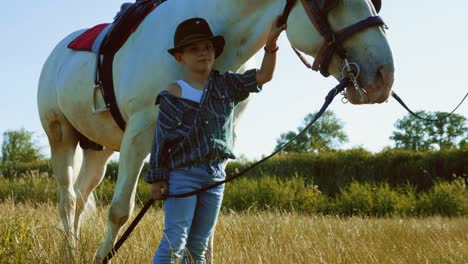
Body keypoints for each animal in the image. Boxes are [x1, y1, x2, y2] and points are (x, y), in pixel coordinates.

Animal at [37, 0, 394, 260]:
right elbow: (119, 211)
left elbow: (206, 220)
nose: (383, 75)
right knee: (67, 198)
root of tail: (56, 53)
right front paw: (102, 257)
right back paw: (70, 252)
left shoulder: (221, 136)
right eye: (330, 3)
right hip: (62, 138)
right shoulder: (139, 135)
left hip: (100, 149)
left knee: (81, 196)